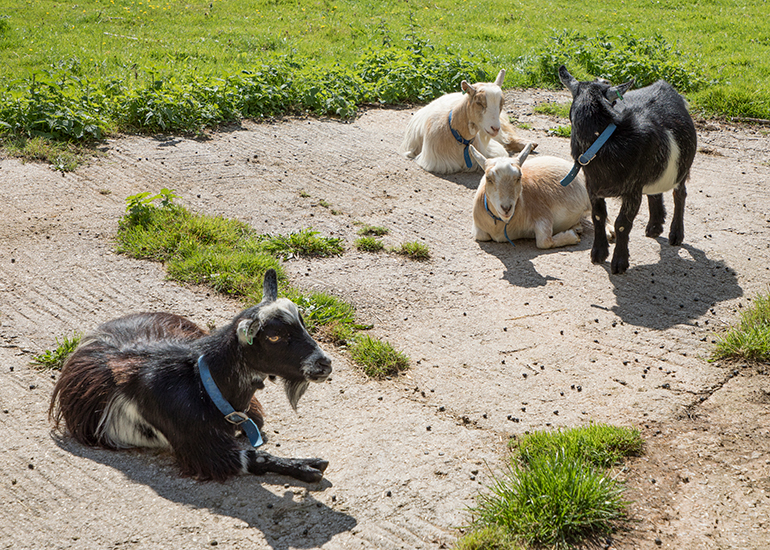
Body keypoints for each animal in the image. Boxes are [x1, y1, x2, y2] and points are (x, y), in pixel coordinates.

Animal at [49, 269, 332, 483]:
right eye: (274, 336)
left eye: (303, 323)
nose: (324, 364)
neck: (203, 383)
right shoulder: (202, 450)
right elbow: (254, 458)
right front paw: (307, 466)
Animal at [471, 144, 599, 249]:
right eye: (488, 178)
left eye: (519, 177)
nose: (506, 208)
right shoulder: (479, 230)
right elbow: (482, 237)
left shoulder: (542, 214)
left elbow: (544, 242)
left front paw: (572, 236)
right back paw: (577, 227)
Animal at [558, 66, 697, 274]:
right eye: (614, 102)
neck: (605, 140)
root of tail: (664, 85)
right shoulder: (593, 186)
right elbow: (598, 216)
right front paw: (598, 254)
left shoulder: (633, 190)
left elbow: (622, 223)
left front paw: (619, 262)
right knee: (655, 191)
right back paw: (655, 226)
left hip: (682, 168)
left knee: (679, 194)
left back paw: (676, 234)